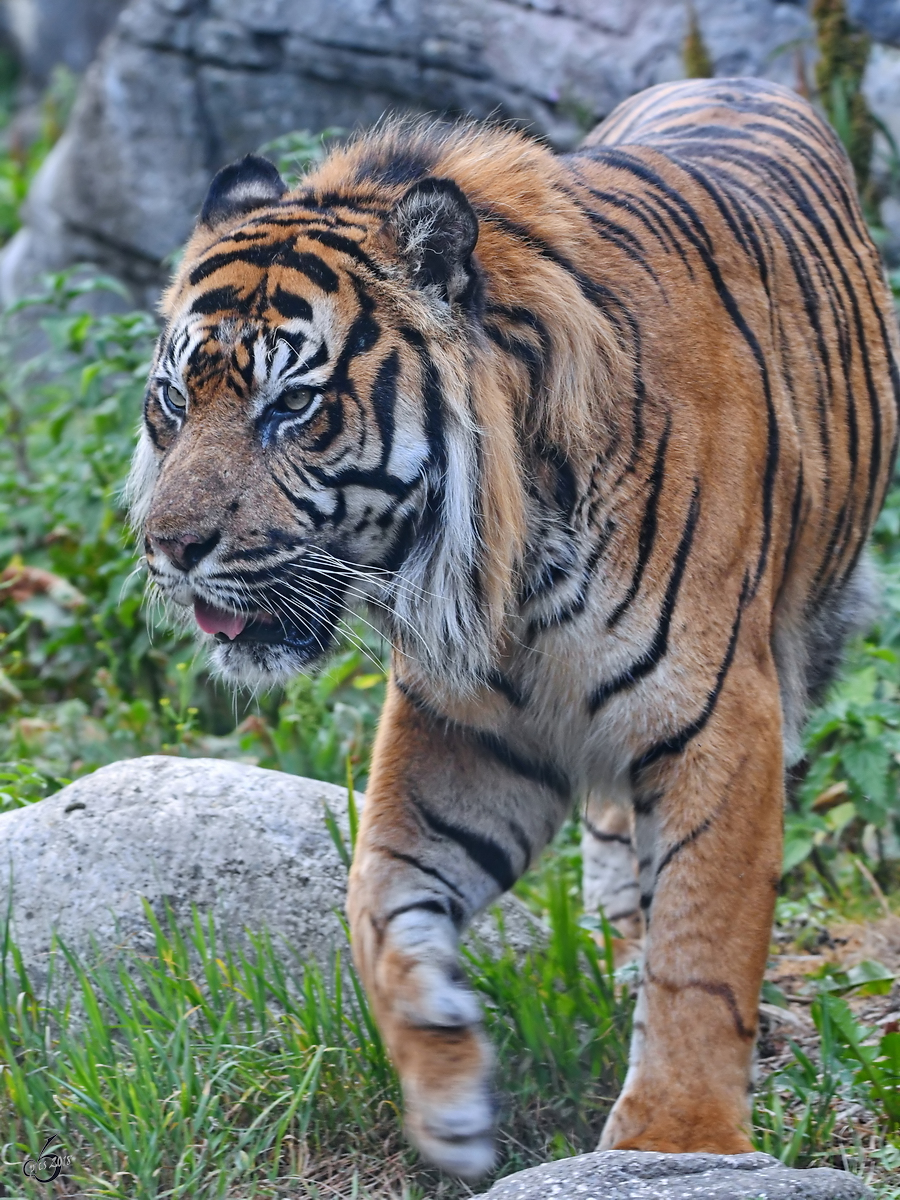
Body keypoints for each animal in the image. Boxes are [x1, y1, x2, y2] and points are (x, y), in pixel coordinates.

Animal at [128, 79, 900, 1176]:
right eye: (172, 400)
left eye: (294, 406)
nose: (169, 546)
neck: (510, 562)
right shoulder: (466, 725)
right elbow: (377, 896)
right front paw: (448, 1081)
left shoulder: (719, 719)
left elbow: (704, 946)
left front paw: (676, 1144)